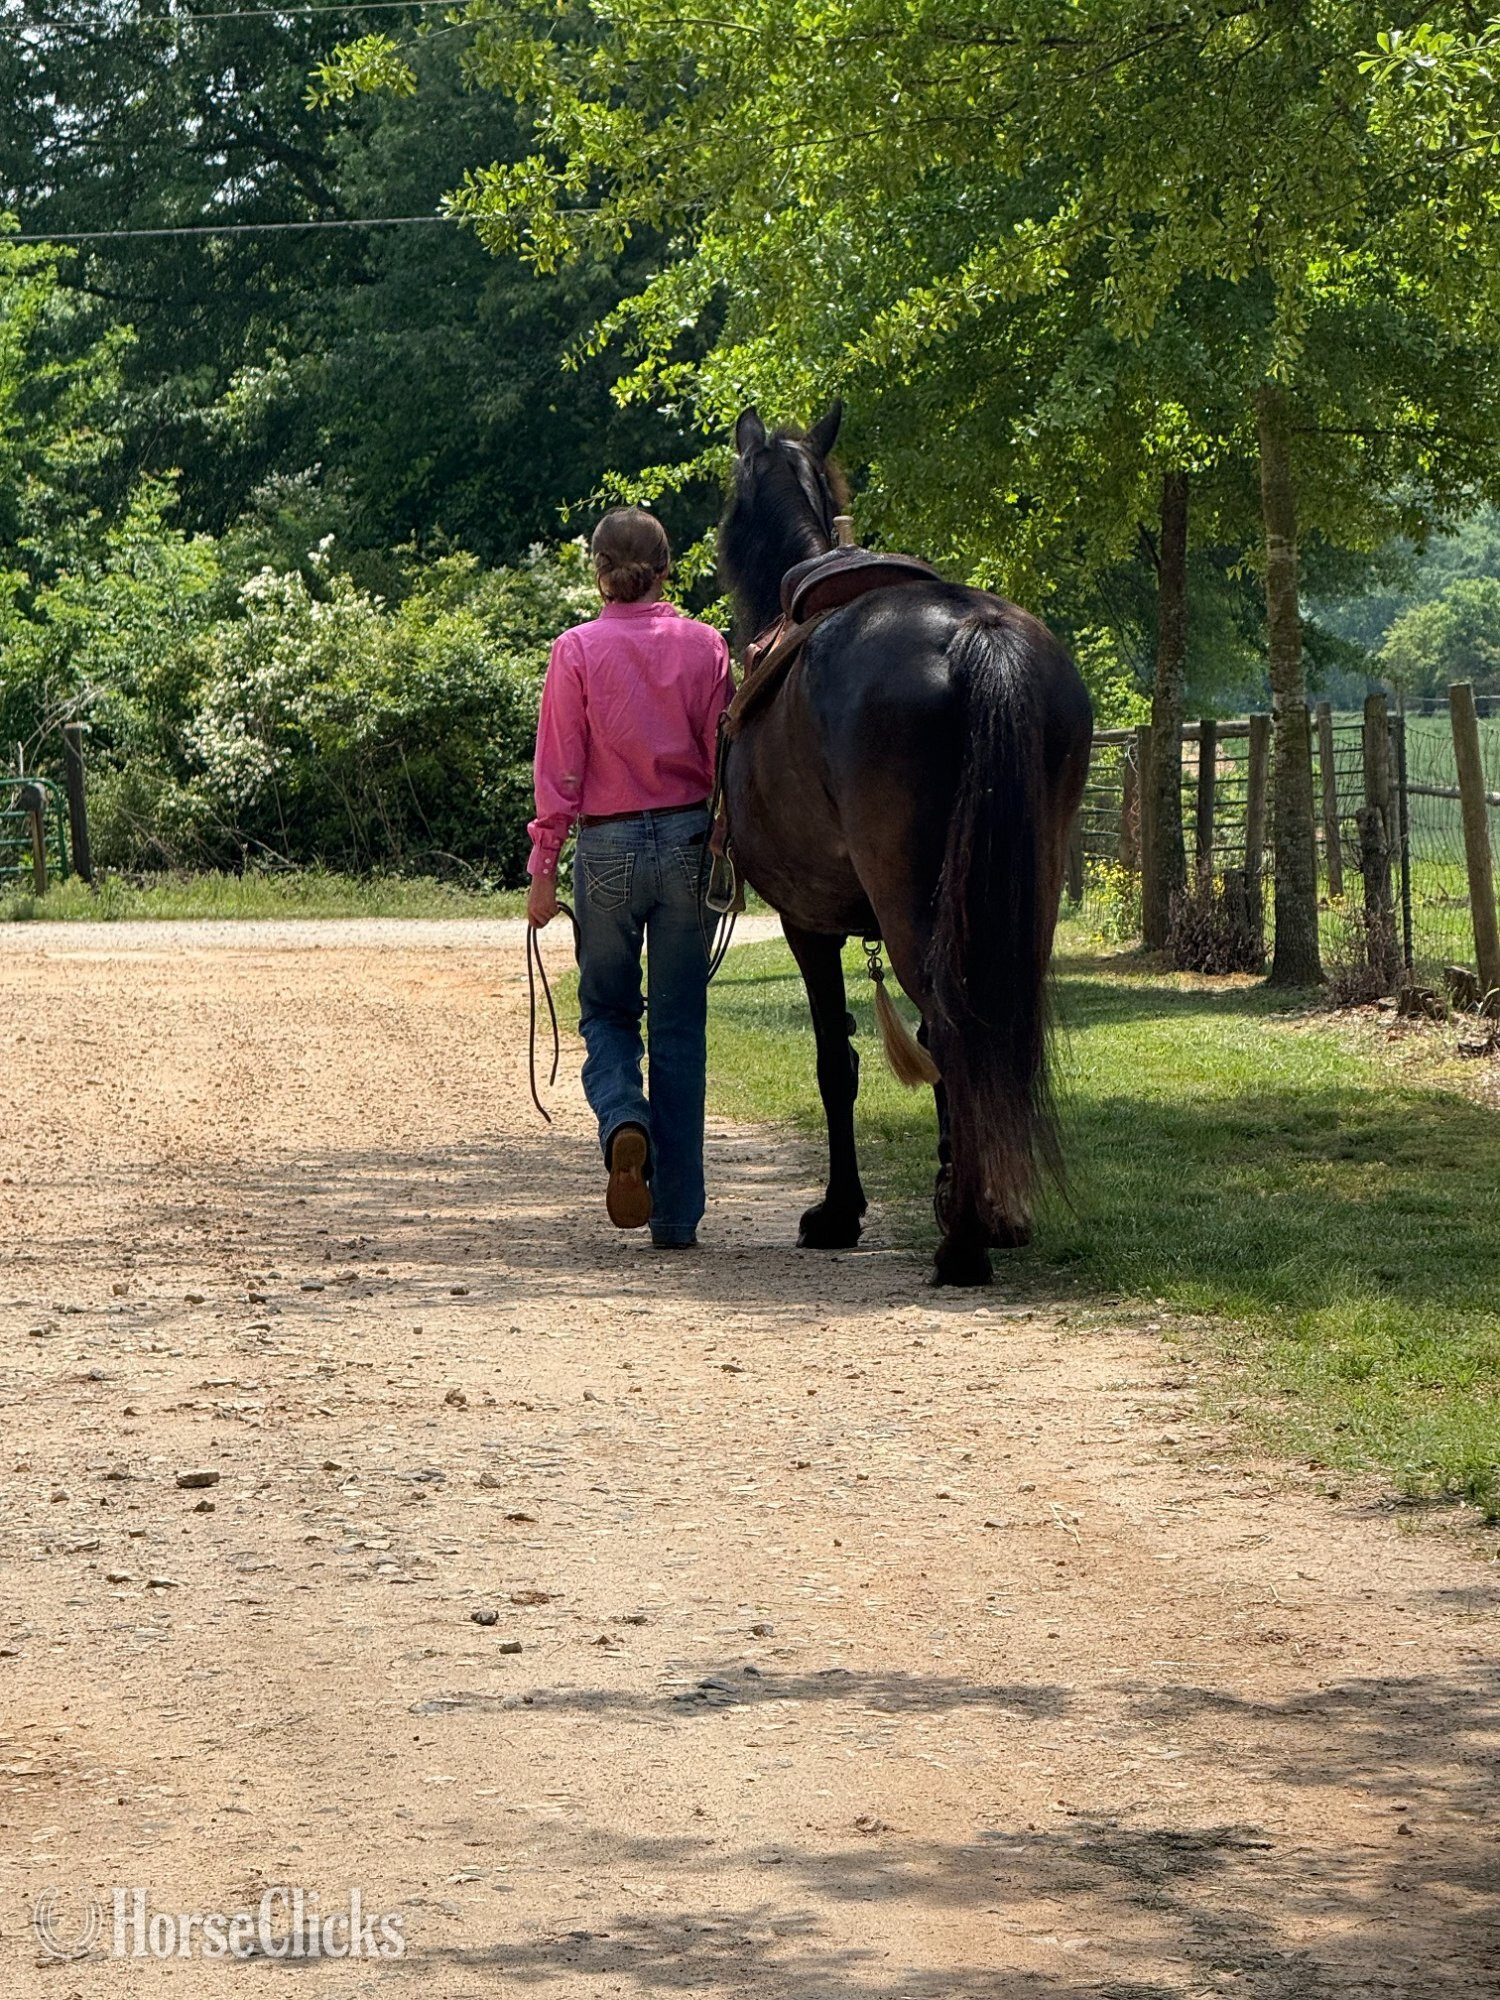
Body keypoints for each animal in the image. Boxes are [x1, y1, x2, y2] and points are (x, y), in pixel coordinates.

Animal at [717, 402, 1093, 1286]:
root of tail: (976, 632)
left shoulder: (808, 924)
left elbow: (836, 1062)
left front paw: (839, 1211)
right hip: (1018, 898)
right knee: (988, 1028)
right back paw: (991, 1215)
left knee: (957, 1027)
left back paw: (962, 1246)